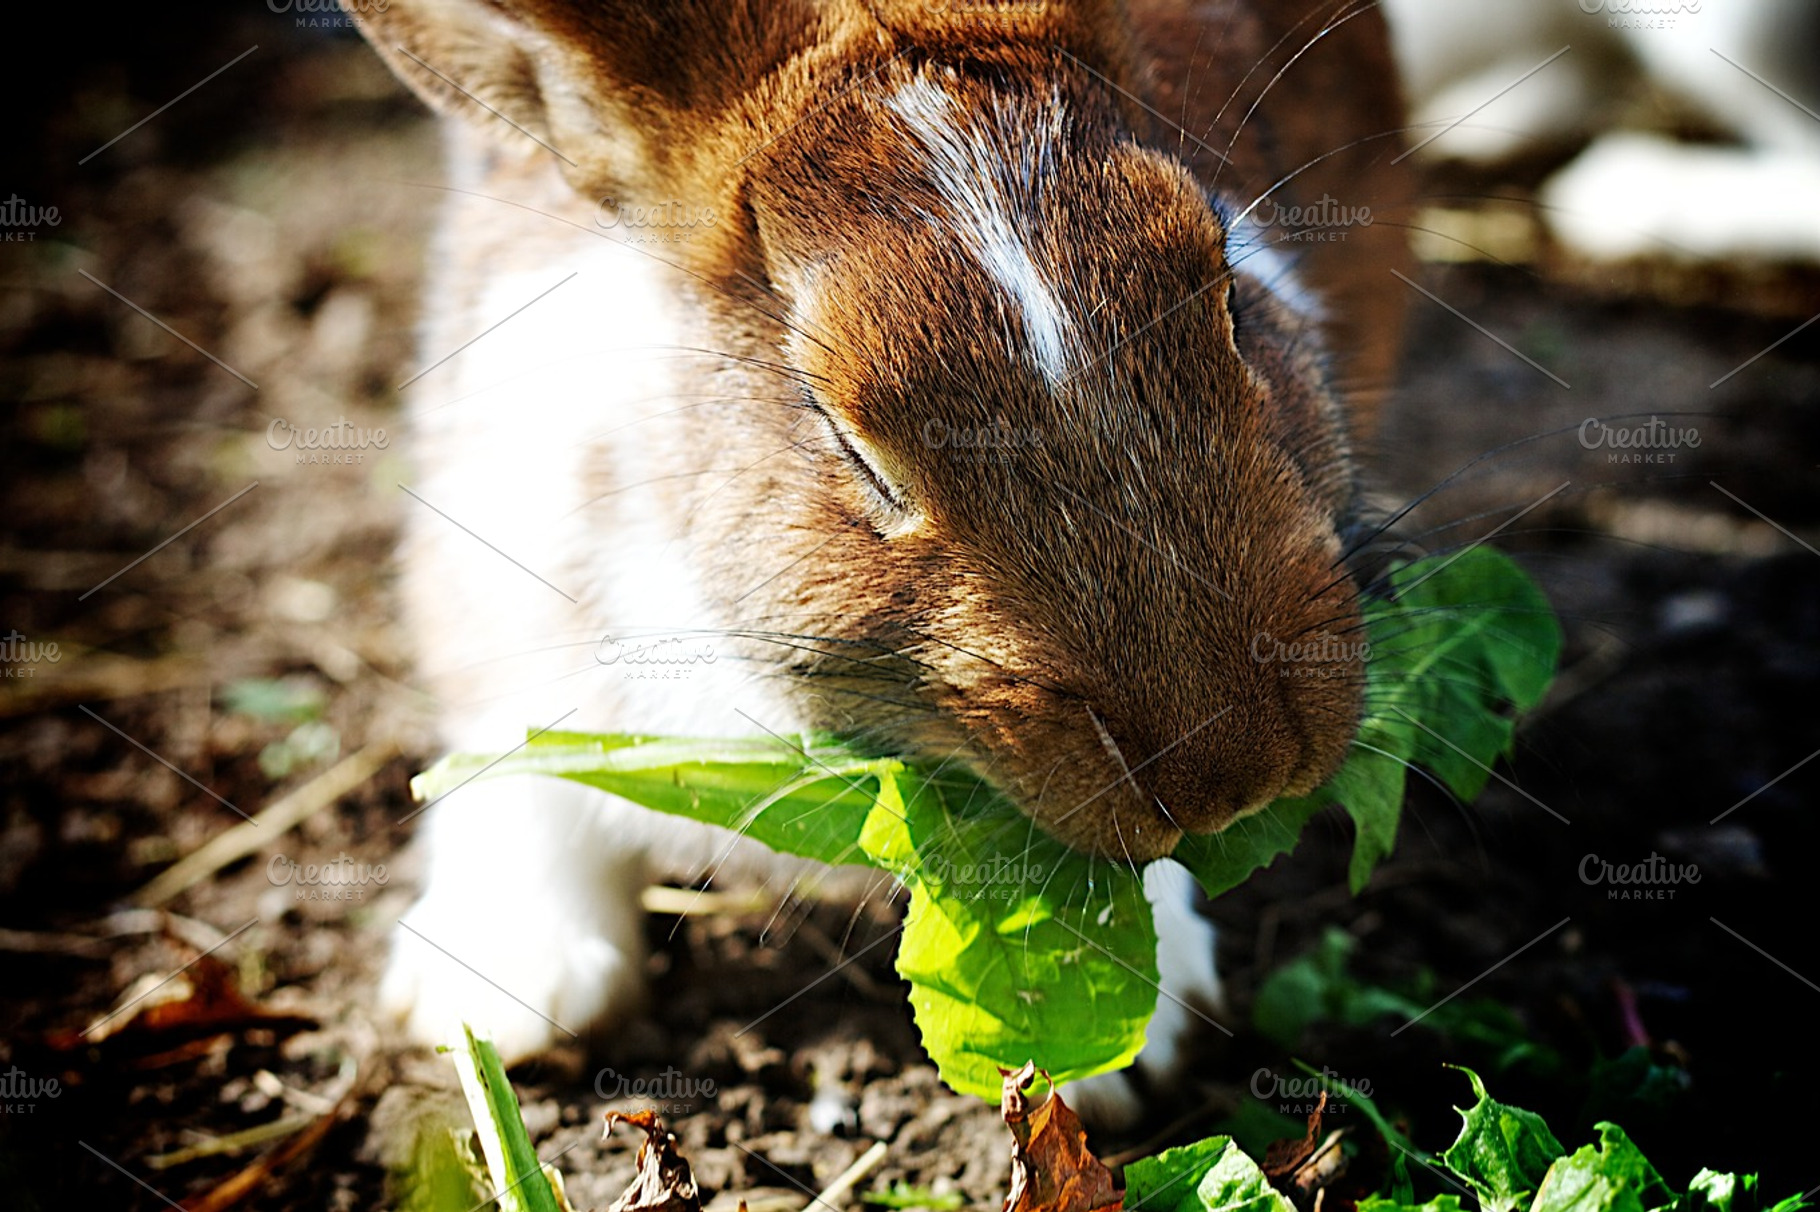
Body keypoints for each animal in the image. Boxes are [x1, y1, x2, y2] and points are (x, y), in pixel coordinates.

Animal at [344, 0, 1414, 1122]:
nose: (1234, 772)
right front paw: (507, 990)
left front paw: (1128, 1048)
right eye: (844, 437)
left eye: (1232, 298)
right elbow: (512, 771)